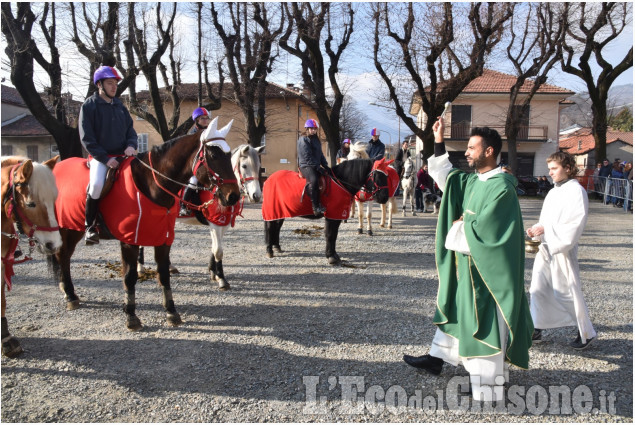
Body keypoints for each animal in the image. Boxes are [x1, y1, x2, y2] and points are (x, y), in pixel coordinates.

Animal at [49, 117, 241, 330]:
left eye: (229, 154)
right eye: (213, 155)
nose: (233, 196)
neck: (152, 184)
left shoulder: (163, 238)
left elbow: (164, 274)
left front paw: (171, 312)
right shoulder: (129, 240)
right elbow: (130, 276)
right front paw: (131, 315)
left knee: (63, 256)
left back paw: (68, 291)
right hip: (66, 227)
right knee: (62, 255)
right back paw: (69, 293)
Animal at [140, 144, 266, 290]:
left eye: (259, 166)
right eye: (244, 166)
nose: (256, 195)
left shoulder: (223, 224)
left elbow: (214, 249)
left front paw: (213, 272)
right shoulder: (215, 224)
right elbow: (218, 251)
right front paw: (221, 279)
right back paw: (140, 268)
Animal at [262, 157, 390, 264]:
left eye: (387, 176)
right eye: (377, 176)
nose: (384, 198)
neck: (340, 182)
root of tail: (269, 179)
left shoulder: (337, 215)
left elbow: (334, 235)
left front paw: (334, 255)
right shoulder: (332, 215)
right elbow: (330, 234)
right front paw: (331, 256)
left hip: (280, 212)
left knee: (277, 227)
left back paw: (277, 247)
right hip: (272, 211)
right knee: (269, 227)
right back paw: (269, 250)